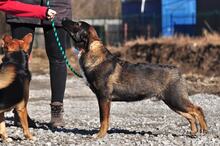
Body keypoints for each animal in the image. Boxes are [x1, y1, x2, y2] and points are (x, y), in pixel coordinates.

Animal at [62, 18, 208, 138]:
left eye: (78, 24)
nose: (63, 19)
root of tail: (177, 71)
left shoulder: (103, 98)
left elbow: (103, 120)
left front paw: (99, 136)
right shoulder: (104, 99)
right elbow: (105, 119)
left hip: (176, 99)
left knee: (197, 109)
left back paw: (204, 129)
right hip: (172, 102)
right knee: (190, 116)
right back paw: (194, 132)